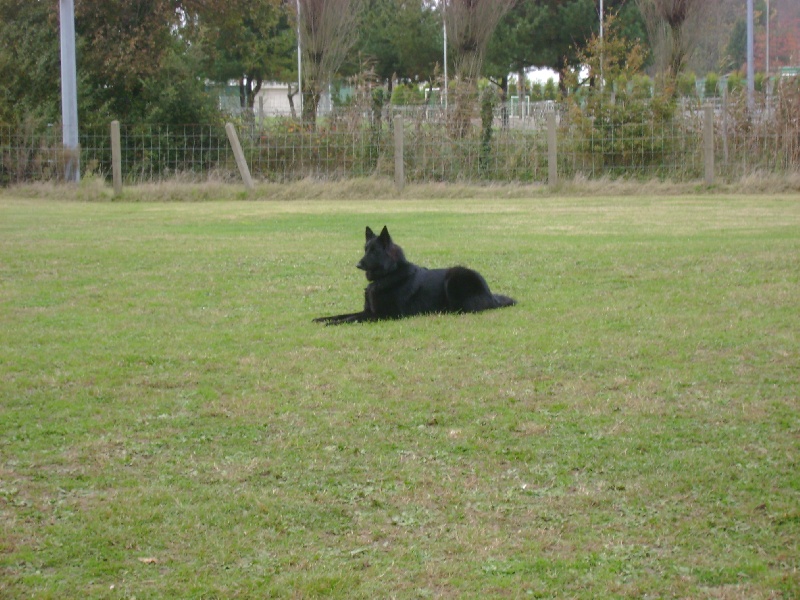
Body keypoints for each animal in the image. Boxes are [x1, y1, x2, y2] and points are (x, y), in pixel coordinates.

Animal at [312, 225, 512, 326]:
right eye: (365, 249)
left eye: (374, 251)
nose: (358, 264)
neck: (388, 275)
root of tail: (490, 295)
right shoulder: (369, 311)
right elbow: (341, 314)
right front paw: (322, 319)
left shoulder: (383, 314)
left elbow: (351, 318)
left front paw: (332, 324)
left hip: (454, 277)